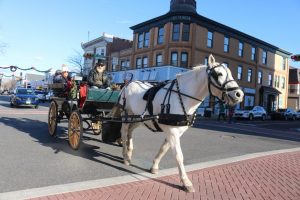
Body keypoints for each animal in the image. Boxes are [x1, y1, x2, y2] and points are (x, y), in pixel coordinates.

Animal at [118, 54, 243, 192]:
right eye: (219, 74)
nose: (239, 94)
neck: (182, 96)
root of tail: (128, 84)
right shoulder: (172, 131)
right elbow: (178, 155)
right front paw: (186, 181)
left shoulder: (177, 130)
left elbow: (164, 148)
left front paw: (154, 166)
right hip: (126, 114)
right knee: (124, 132)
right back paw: (125, 156)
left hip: (139, 118)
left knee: (130, 131)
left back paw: (129, 153)